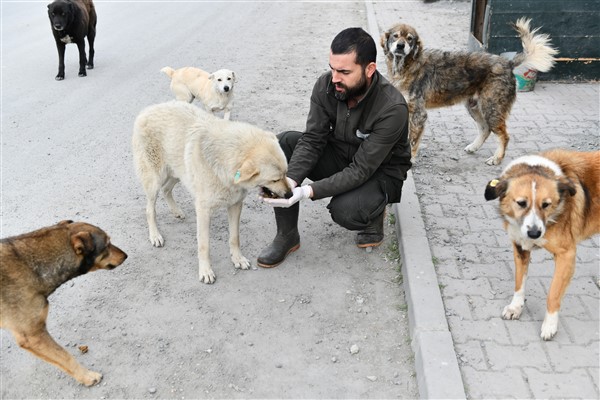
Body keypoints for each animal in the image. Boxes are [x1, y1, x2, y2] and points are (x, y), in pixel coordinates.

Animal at [132, 101, 292, 282]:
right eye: (275, 180)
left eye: (285, 174)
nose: (290, 195)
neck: (224, 162)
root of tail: (147, 109)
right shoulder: (203, 211)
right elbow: (204, 246)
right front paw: (205, 271)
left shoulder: (235, 205)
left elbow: (234, 237)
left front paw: (237, 259)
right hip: (155, 180)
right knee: (149, 209)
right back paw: (155, 235)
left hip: (178, 173)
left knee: (167, 190)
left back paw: (176, 211)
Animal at [486, 150, 596, 340]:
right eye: (521, 203)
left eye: (546, 204)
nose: (534, 234)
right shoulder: (520, 247)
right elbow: (519, 282)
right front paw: (516, 307)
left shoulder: (566, 255)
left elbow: (553, 294)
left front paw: (550, 325)